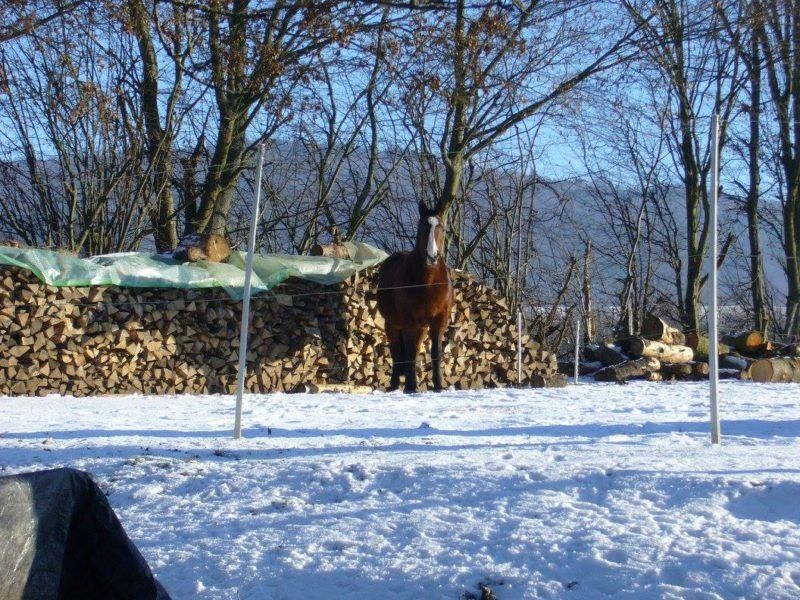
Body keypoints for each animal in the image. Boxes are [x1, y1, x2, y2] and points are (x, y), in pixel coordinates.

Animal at [376, 202, 450, 394]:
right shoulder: (409, 320)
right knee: (397, 353)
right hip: (393, 325)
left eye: (441, 227)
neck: (428, 283)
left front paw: (438, 386)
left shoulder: (439, 320)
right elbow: (407, 352)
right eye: (423, 226)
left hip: (422, 327)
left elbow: (435, 352)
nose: (432, 256)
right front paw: (411, 387)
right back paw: (395, 385)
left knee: (414, 351)